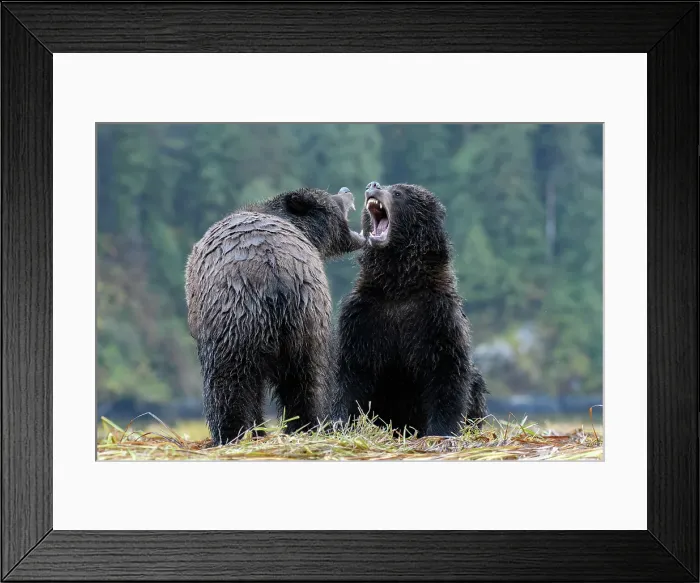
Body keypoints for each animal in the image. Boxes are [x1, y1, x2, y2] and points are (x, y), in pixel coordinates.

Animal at [185, 187, 364, 445]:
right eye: (331, 197)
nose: (346, 190)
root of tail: (277, 274)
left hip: (235, 319)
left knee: (225, 385)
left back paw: (227, 435)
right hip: (308, 320)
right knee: (308, 383)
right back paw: (304, 427)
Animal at [333, 181, 487, 437]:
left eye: (398, 193)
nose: (373, 185)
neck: (399, 287)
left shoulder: (437, 316)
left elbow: (447, 371)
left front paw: (442, 429)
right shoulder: (363, 316)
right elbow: (352, 371)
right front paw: (338, 421)